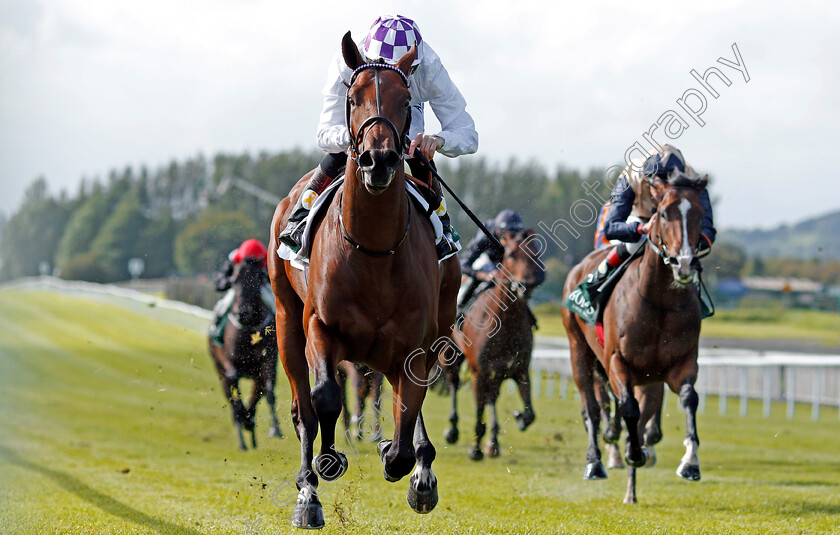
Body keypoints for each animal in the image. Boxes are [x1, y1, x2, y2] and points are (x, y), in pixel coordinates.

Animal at [209, 258, 286, 450]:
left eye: (258, 280)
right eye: (234, 280)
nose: (242, 312)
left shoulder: (268, 361)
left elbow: (268, 392)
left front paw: (275, 429)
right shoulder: (230, 364)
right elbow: (236, 394)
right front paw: (243, 420)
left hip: (255, 375)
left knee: (256, 395)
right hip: (220, 370)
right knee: (232, 397)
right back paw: (242, 439)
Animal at [266, 34, 460, 532]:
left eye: (406, 100)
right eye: (352, 98)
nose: (379, 159)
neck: (373, 250)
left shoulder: (416, 342)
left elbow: (406, 423)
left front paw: (403, 459)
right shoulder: (319, 326)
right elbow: (324, 398)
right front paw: (327, 464)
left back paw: (419, 468)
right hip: (286, 318)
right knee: (303, 409)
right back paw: (308, 490)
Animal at [446, 229, 544, 460]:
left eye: (535, 252)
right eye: (512, 254)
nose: (529, 282)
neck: (505, 322)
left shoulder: (518, 369)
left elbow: (529, 413)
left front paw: (518, 417)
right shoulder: (478, 372)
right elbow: (478, 411)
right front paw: (475, 450)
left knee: (492, 396)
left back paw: (493, 442)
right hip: (450, 353)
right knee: (454, 381)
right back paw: (453, 430)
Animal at [564, 174, 708, 504]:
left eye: (699, 214)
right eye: (664, 213)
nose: (683, 263)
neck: (659, 302)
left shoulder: (680, 363)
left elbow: (688, 398)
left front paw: (690, 462)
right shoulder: (617, 361)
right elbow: (628, 407)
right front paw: (631, 452)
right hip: (578, 348)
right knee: (591, 407)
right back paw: (596, 463)